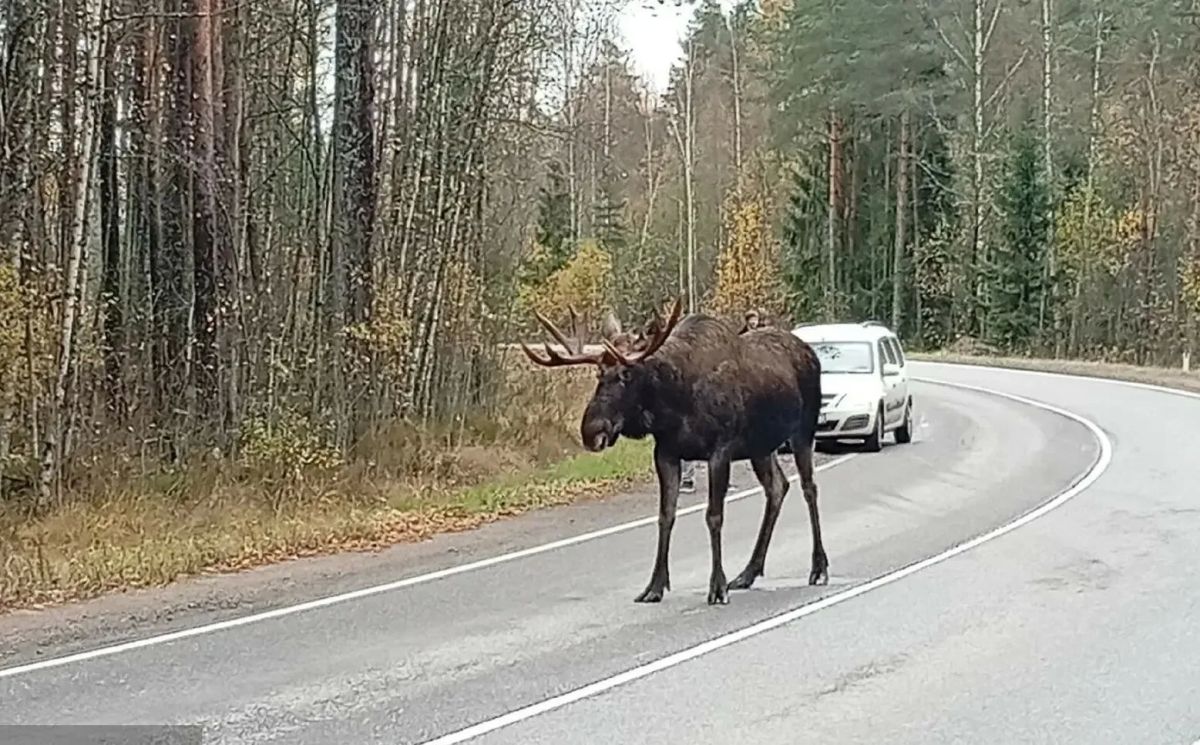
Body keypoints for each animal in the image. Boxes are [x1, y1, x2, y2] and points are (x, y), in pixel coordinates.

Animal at [520, 297, 827, 605]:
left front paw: (717, 586)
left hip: (803, 431)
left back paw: (818, 567)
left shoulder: (720, 450)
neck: (674, 403)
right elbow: (665, 516)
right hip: (761, 447)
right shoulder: (666, 453)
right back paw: (748, 573)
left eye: (626, 374)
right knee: (778, 487)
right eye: (598, 374)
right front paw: (654, 586)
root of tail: (811, 353)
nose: (591, 430)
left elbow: (714, 516)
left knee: (809, 488)